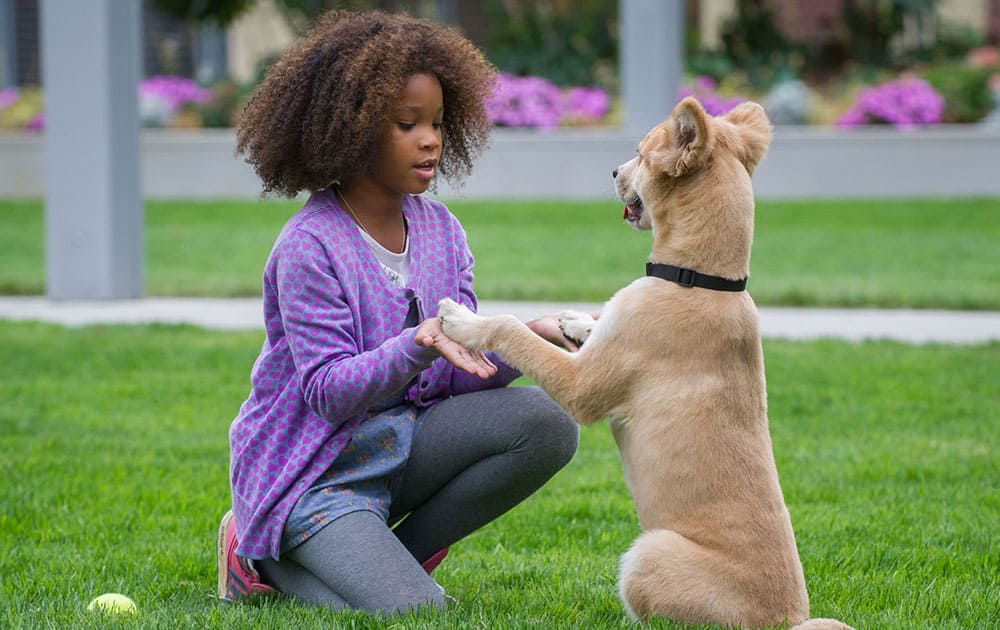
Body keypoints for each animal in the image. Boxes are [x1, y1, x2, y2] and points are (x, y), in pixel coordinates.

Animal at [440, 96, 852, 628]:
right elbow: (584, 332)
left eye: (638, 154)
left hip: (647, 554)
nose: (614, 170)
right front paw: (576, 321)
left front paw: (464, 321)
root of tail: (787, 621)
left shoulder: (582, 387)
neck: (700, 279)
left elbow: (512, 328)